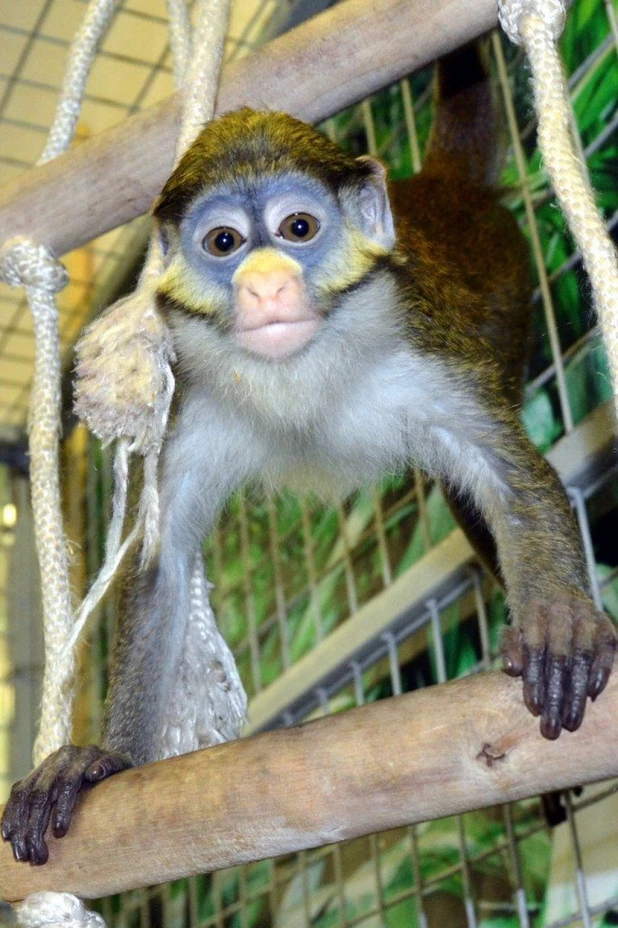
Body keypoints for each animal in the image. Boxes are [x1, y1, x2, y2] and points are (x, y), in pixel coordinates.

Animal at [2, 47, 612, 868]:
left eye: (297, 228)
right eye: (224, 243)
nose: (264, 285)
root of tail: (438, 193)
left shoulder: (423, 351)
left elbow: (509, 474)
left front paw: (560, 624)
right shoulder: (198, 403)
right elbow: (164, 562)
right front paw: (106, 760)